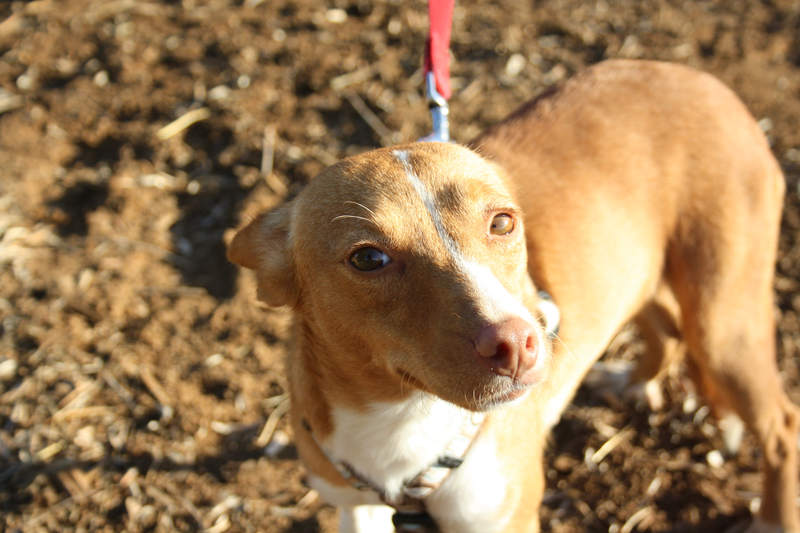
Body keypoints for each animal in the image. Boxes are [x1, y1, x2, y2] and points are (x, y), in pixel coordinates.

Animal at [228, 59, 799, 532]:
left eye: (502, 222)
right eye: (368, 258)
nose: (518, 343)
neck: (400, 425)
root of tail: (707, 81)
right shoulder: (355, 508)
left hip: (724, 321)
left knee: (782, 425)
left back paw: (773, 518)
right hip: (644, 271)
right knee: (663, 329)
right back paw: (635, 383)